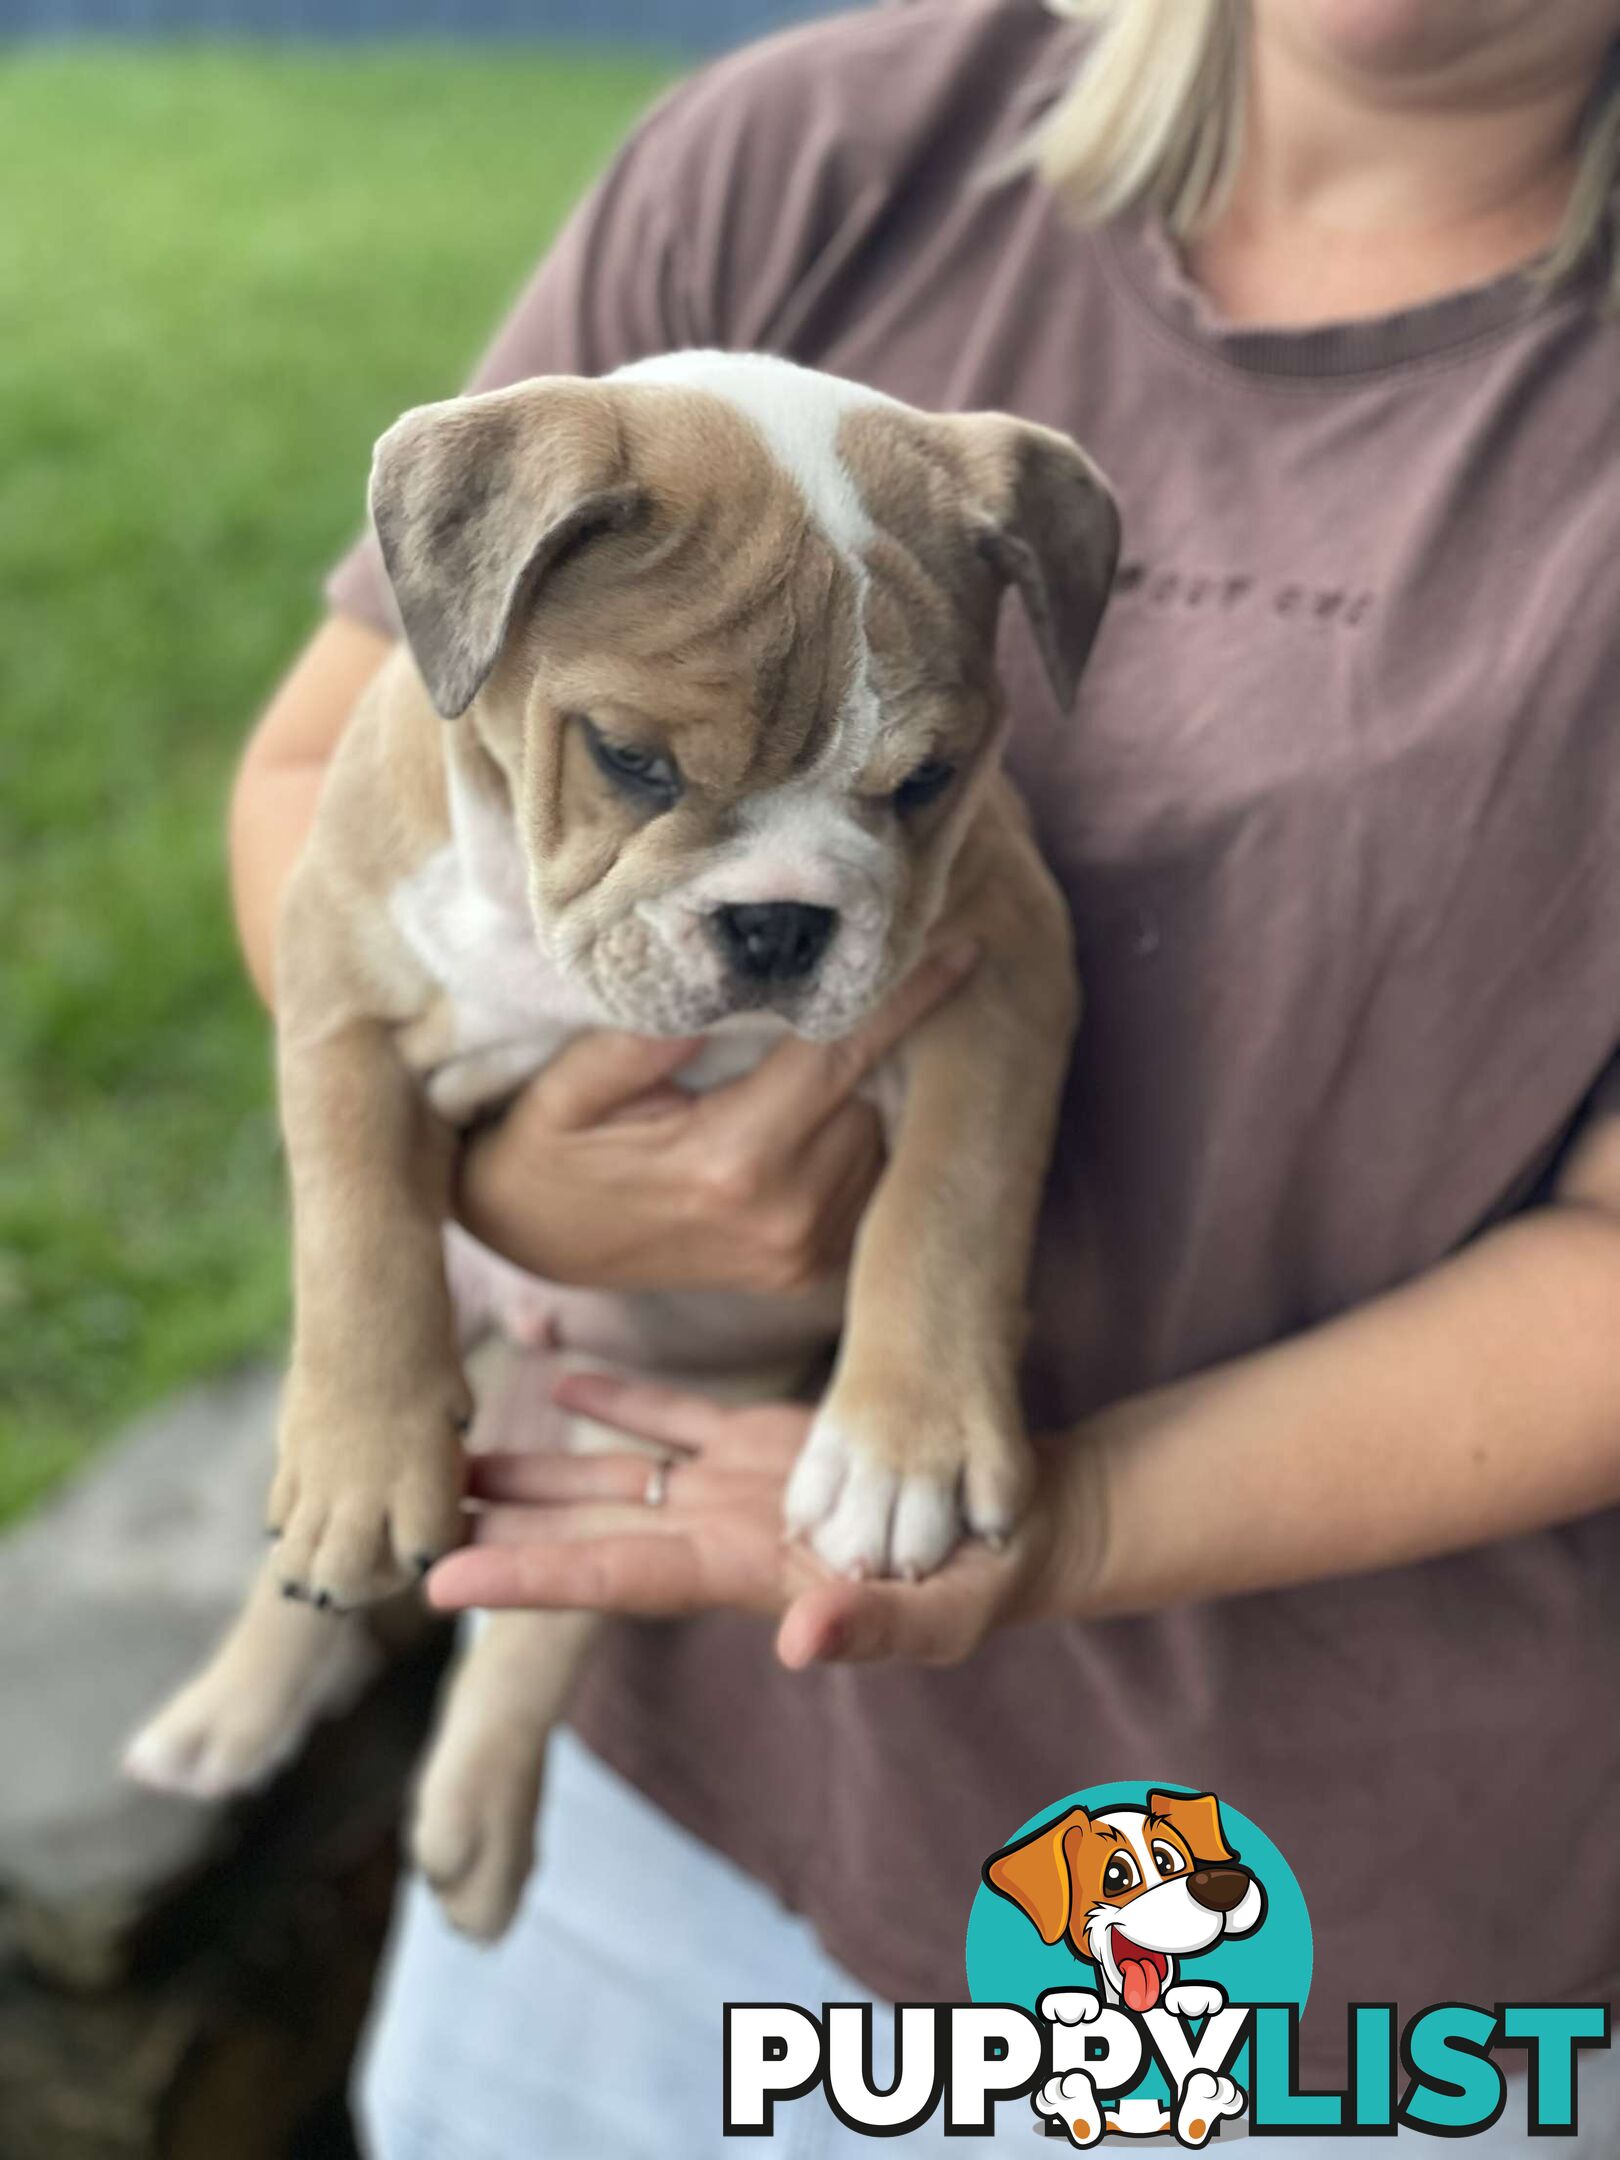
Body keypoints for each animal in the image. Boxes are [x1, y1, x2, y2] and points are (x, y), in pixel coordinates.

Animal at [126, 354, 1114, 1944]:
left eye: (929, 782)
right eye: (631, 760)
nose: (779, 922)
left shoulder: (1003, 967)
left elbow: (949, 1203)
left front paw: (899, 1453)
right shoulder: (338, 987)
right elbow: (356, 1230)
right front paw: (361, 1469)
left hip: (643, 1437)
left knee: (545, 1620)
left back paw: (472, 1833)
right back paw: (231, 1711)